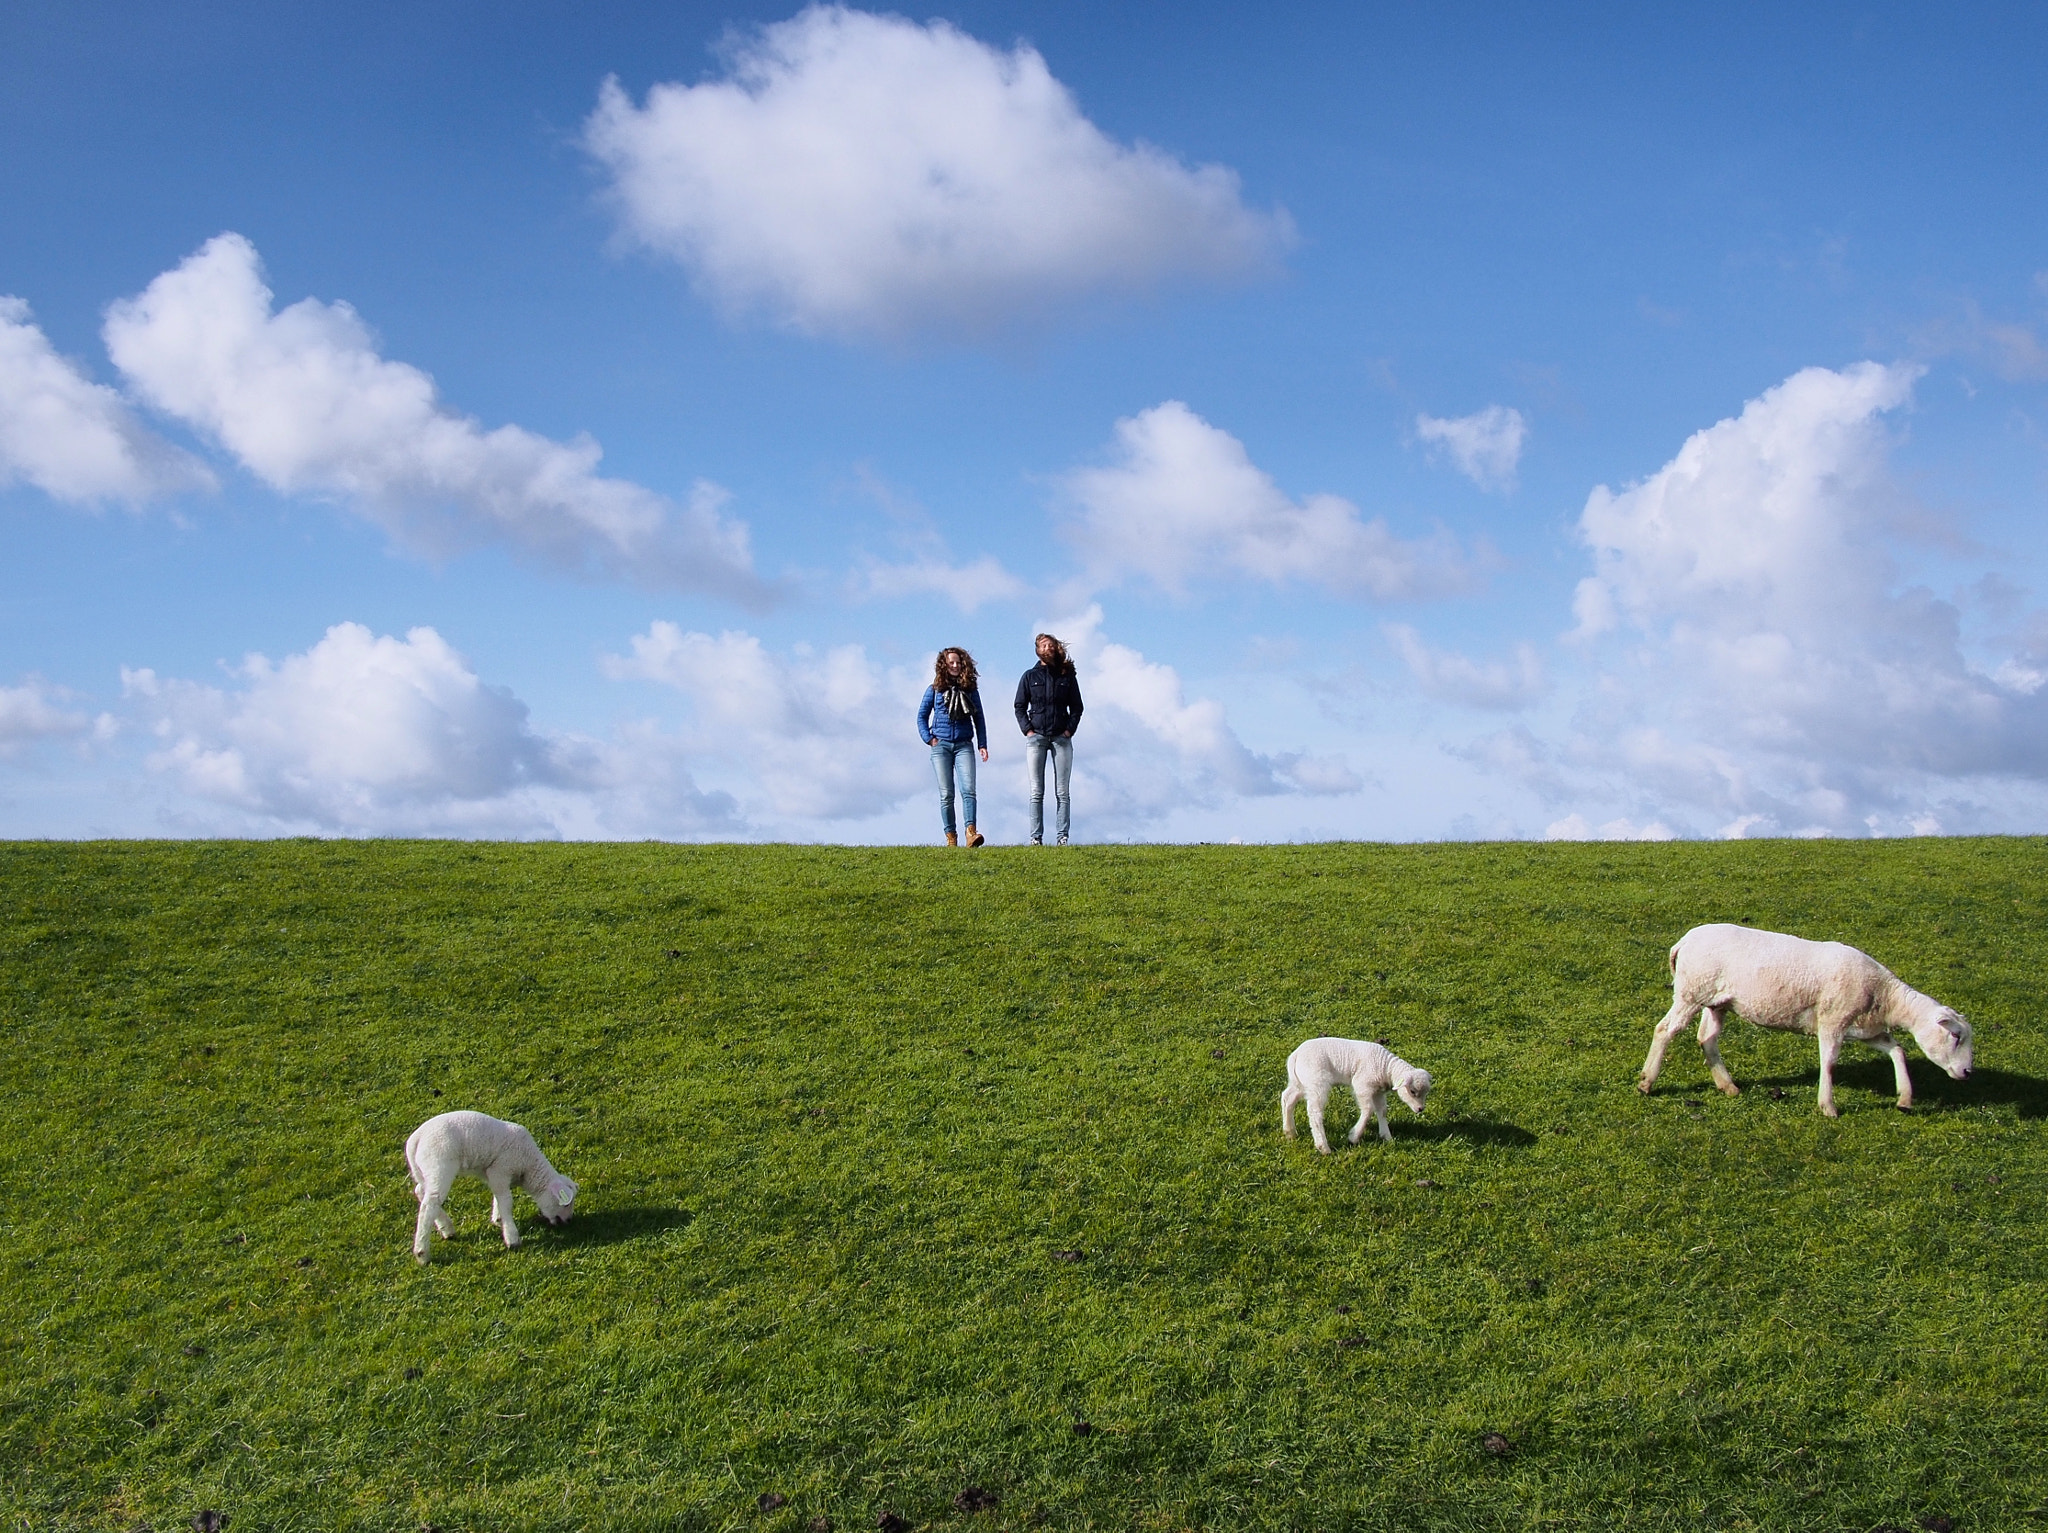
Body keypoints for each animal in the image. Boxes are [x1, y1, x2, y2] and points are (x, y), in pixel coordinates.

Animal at [403, 1105, 577, 1260]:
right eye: (566, 1203)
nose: (569, 1221)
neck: (528, 1165)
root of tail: (415, 1140)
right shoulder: (500, 1169)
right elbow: (506, 1201)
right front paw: (512, 1237)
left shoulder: (492, 1173)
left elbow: (498, 1196)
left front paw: (498, 1219)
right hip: (440, 1165)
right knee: (429, 1204)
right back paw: (422, 1253)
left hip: (423, 1171)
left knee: (421, 1192)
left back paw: (446, 1228)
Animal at [1277, 1035, 1425, 1154]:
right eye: (1412, 1091)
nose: (1420, 1109)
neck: (1386, 1067)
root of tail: (1295, 1055)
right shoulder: (1362, 1085)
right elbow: (1368, 1109)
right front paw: (1354, 1137)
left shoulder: (1378, 1091)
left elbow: (1382, 1111)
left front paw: (1386, 1136)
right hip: (1317, 1081)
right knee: (1314, 1112)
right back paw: (1323, 1147)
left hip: (1300, 1082)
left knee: (1287, 1098)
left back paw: (1290, 1132)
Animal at [1630, 921, 1966, 1113]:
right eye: (1956, 1036)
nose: (1967, 1072)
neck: (1885, 995)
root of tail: (1684, 942)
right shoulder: (1832, 1020)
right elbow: (1829, 1063)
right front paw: (1828, 1107)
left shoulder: (1864, 1028)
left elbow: (1896, 1049)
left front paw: (1905, 1098)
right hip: (1692, 992)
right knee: (1665, 1030)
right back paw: (1646, 1083)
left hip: (1717, 1001)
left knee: (1707, 1038)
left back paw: (1728, 1086)